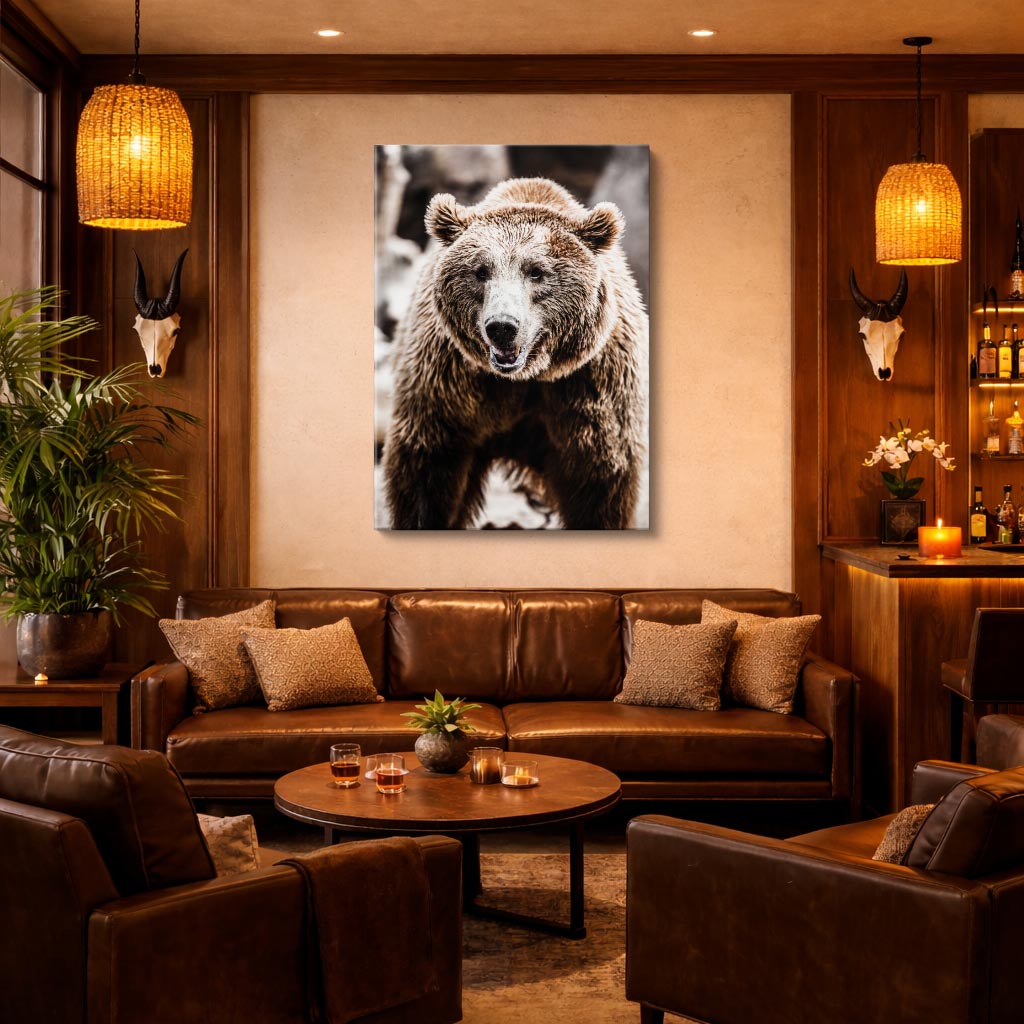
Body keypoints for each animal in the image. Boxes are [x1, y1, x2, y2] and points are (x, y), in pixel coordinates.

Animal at [382, 176, 648, 530]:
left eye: (536, 271)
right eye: (481, 271)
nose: (502, 326)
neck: (526, 377)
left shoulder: (591, 388)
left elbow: (600, 486)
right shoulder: (448, 386)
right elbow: (427, 471)